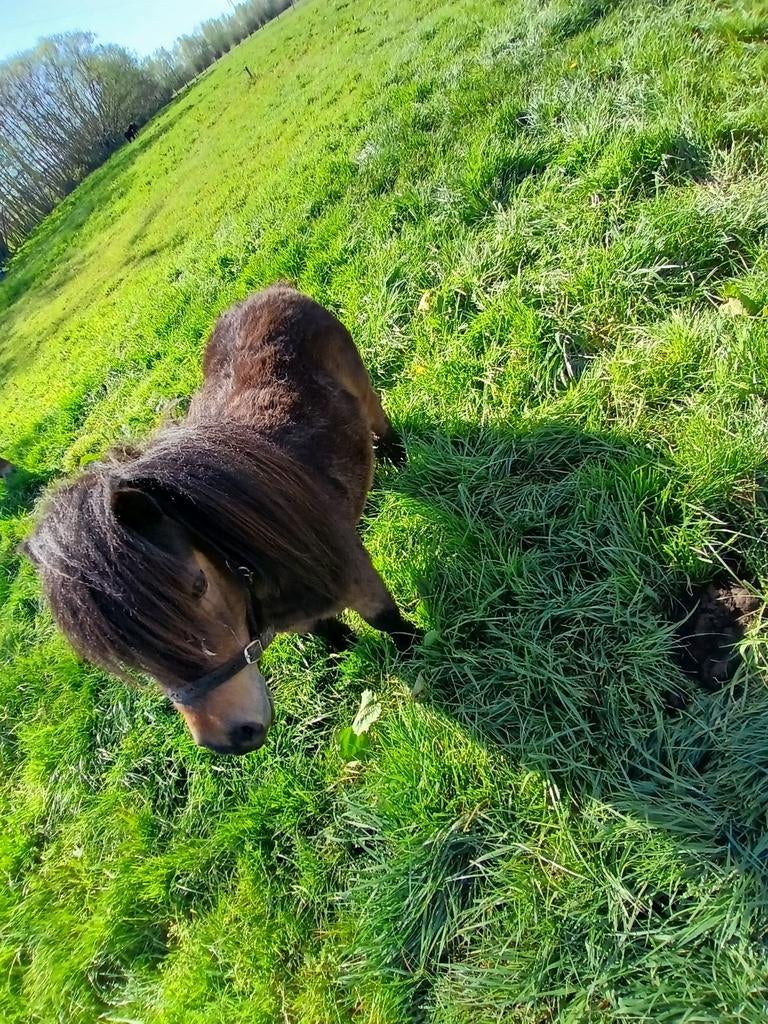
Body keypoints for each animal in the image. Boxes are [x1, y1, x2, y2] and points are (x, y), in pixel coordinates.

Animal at [23, 286, 420, 755]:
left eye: (198, 585)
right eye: (122, 649)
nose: (230, 738)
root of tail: (273, 290)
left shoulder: (357, 575)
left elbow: (388, 621)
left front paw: (416, 654)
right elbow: (328, 631)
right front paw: (348, 652)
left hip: (364, 389)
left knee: (380, 422)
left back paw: (400, 458)